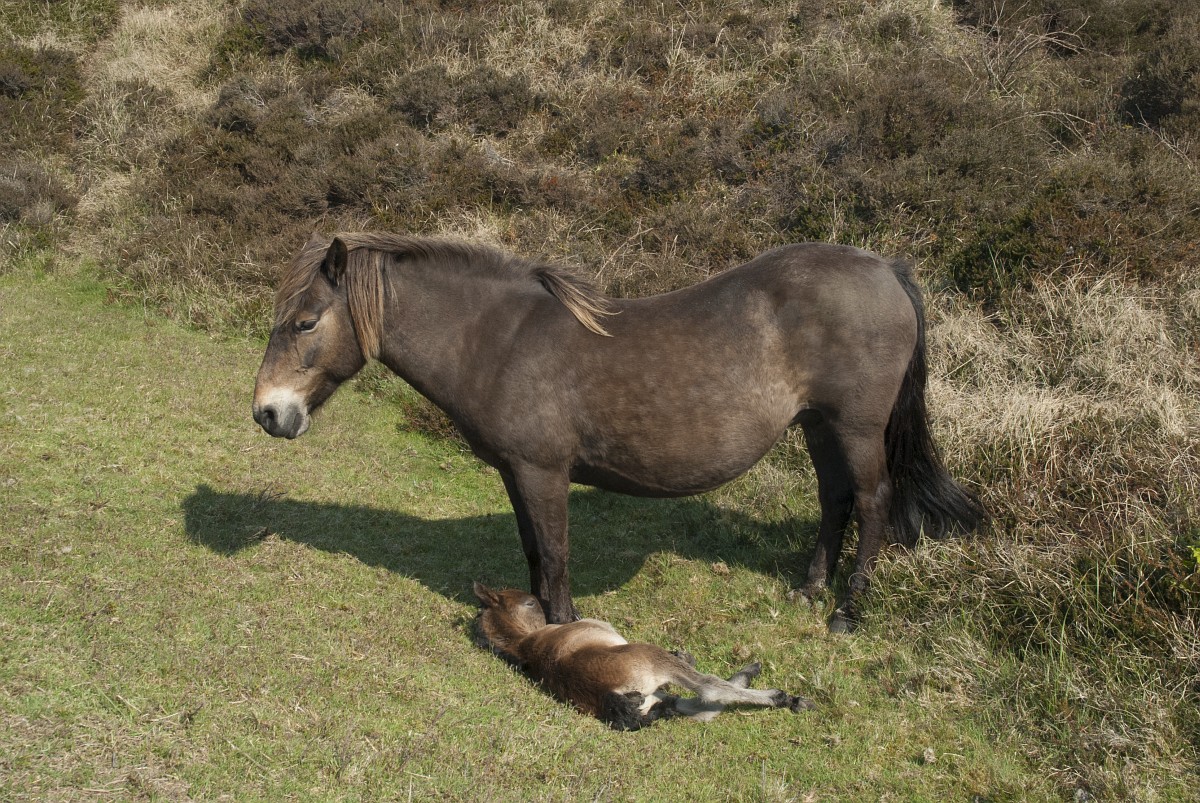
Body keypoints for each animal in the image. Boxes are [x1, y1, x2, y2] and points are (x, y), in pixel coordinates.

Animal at [252, 232, 986, 631]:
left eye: (306, 321)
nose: (268, 413)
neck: (500, 340)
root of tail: (887, 269)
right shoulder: (518, 473)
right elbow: (533, 550)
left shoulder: (543, 471)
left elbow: (555, 553)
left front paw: (560, 630)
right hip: (817, 426)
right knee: (835, 502)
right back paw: (808, 591)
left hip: (856, 427)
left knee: (872, 503)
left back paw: (846, 611)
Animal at [472, 582, 811, 729]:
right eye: (530, 602)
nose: (542, 601)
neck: (526, 642)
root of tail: (608, 696)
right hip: (653, 658)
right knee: (708, 690)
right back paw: (783, 696)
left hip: (654, 698)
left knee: (694, 705)